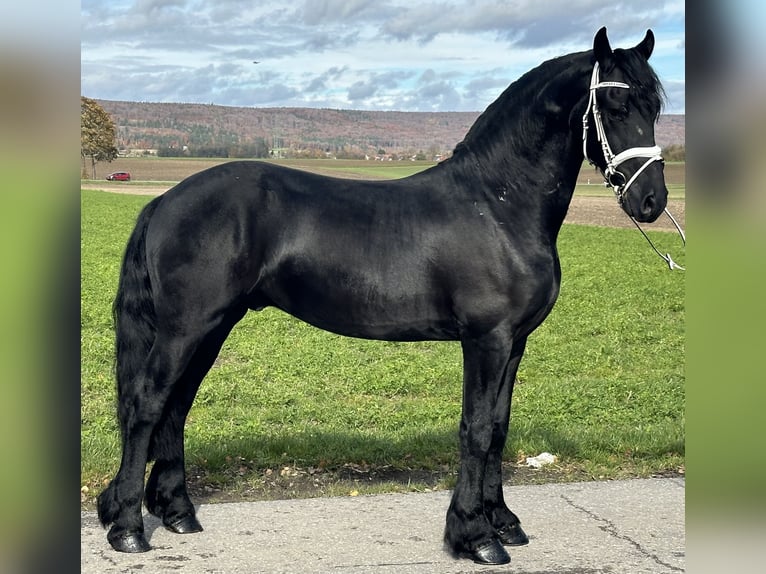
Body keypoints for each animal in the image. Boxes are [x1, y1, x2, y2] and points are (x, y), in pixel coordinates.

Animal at [96, 27, 667, 565]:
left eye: (655, 107)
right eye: (615, 106)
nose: (651, 200)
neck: (498, 204)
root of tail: (164, 201)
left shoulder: (515, 342)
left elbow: (500, 428)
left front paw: (503, 521)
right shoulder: (487, 340)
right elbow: (477, 429)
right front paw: (475, 536)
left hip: (212, 328)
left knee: (175, 407)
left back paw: (176, 512)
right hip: (185, 329)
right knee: (148, 404)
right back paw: (126, 527)